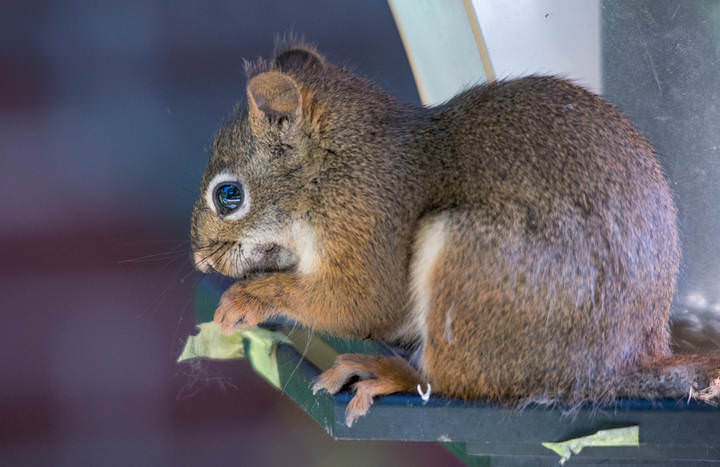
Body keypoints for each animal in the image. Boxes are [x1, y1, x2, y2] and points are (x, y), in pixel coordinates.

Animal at [190, 37, 720, 427]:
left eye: (229, 195)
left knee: (454, 382)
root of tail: (615, 367)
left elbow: (360, 303)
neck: (338, 166)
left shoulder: (367, 221)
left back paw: (388, 372)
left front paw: (250, 298)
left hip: (472, 265)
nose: (201, 260)